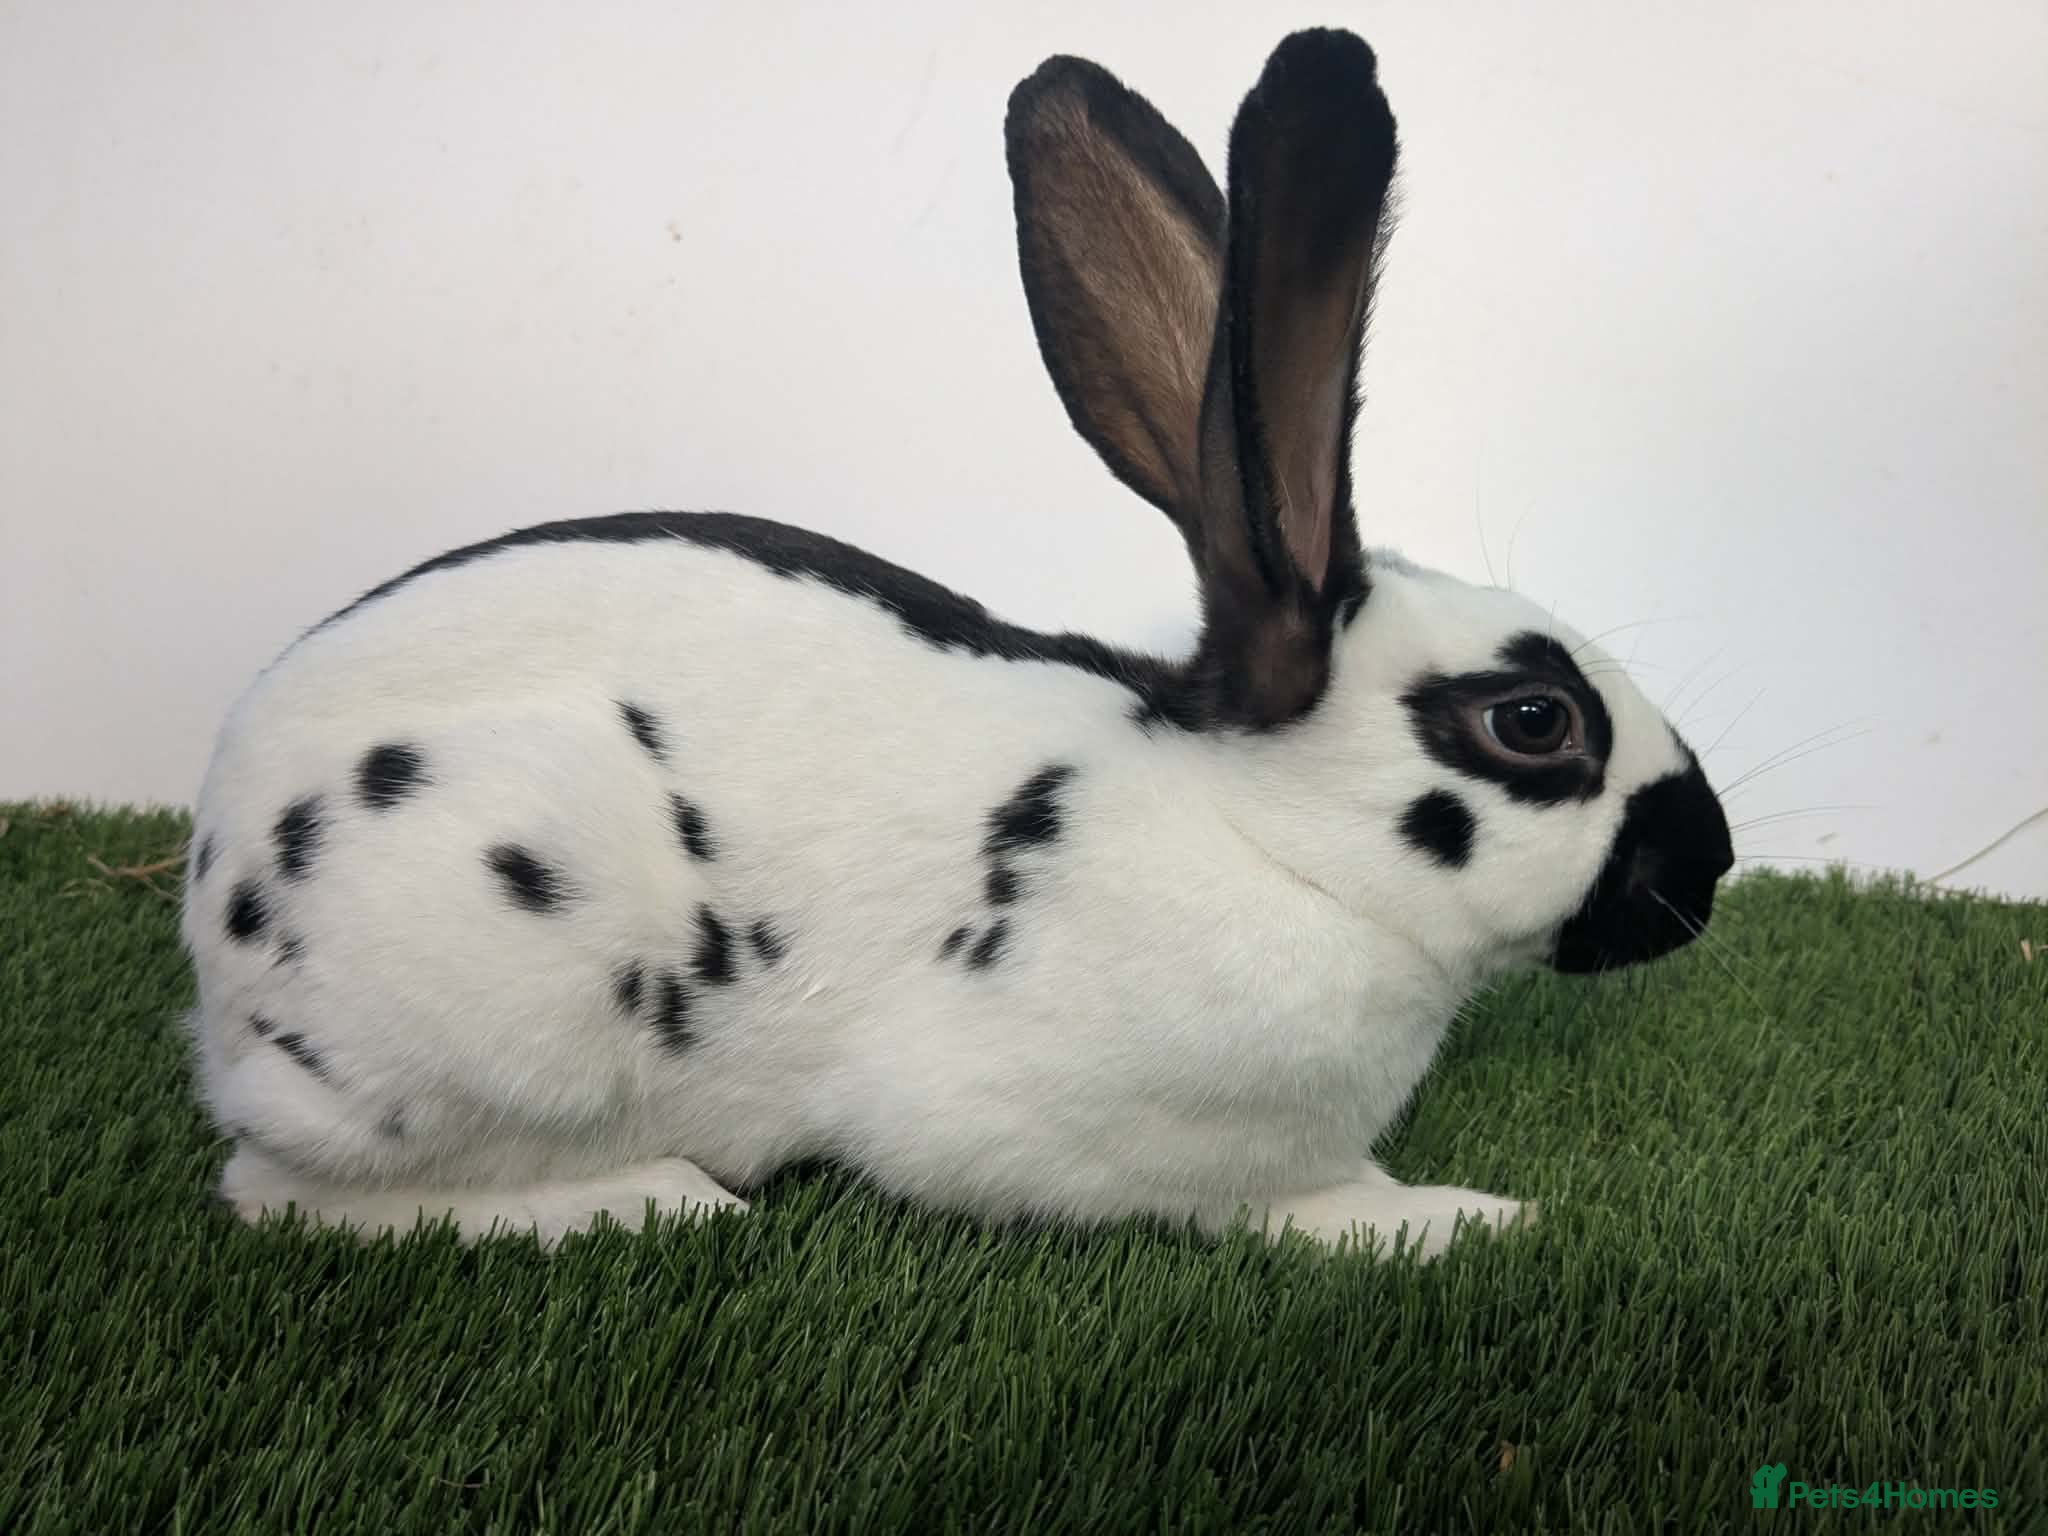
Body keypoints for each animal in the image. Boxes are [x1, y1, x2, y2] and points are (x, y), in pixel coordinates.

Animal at [180, 28, 1733, 1260]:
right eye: (1532, 722)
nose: (1709, 867)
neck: (1268, 842)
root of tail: (210, 905)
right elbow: (1293, 1203)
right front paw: (1470, 1219)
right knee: (286, 1188)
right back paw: (649, 1198)